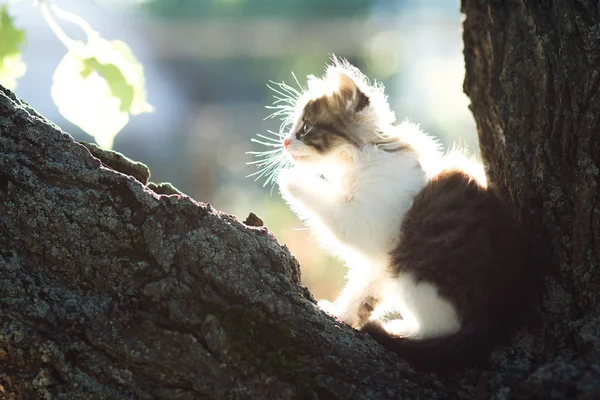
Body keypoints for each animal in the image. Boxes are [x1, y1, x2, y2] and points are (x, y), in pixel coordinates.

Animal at [251, 57, 540, 372]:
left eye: (304, 128)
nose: (285, 142)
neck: (362, 158)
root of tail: (494, 314)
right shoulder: (378, 263)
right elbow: (362, 290)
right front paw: (342, 314)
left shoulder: (370, 226)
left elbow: (332, 206)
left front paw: (289, 178)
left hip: (416, 270)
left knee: (439, 326)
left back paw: (403, 332)